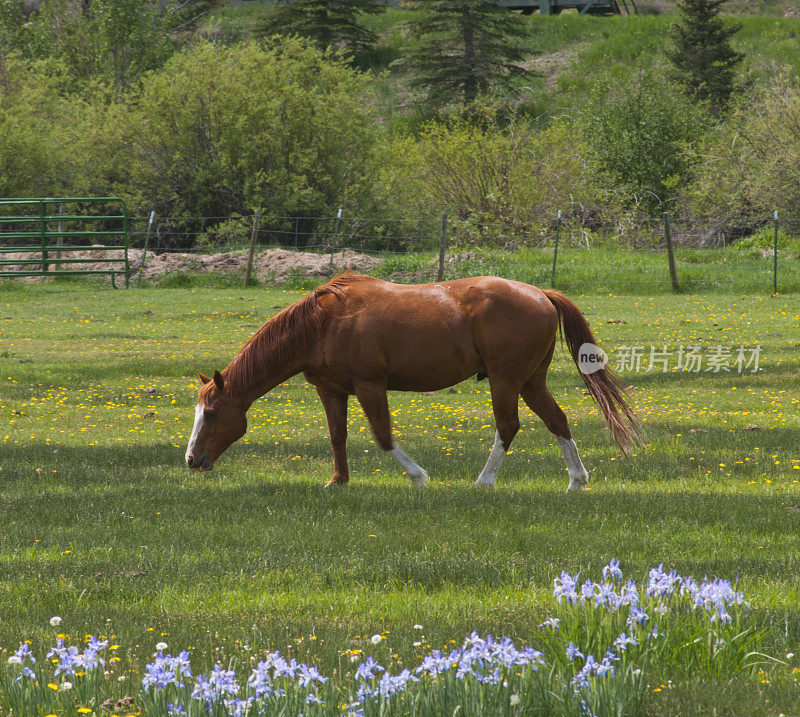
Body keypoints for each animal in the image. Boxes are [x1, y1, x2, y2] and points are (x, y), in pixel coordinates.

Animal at [186, 272, 636, 490]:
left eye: (212, 413)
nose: (192, 460)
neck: (324, 322)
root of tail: (542, 294)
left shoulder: (370, 386)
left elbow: (383, 435)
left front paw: (418, 476)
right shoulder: (331, 390)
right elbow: (337, 436)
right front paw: (337, 480)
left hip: (506, 380)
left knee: (508, 426)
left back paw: (484, 481)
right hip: (530, 382)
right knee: (557, 421)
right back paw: (576, 481)